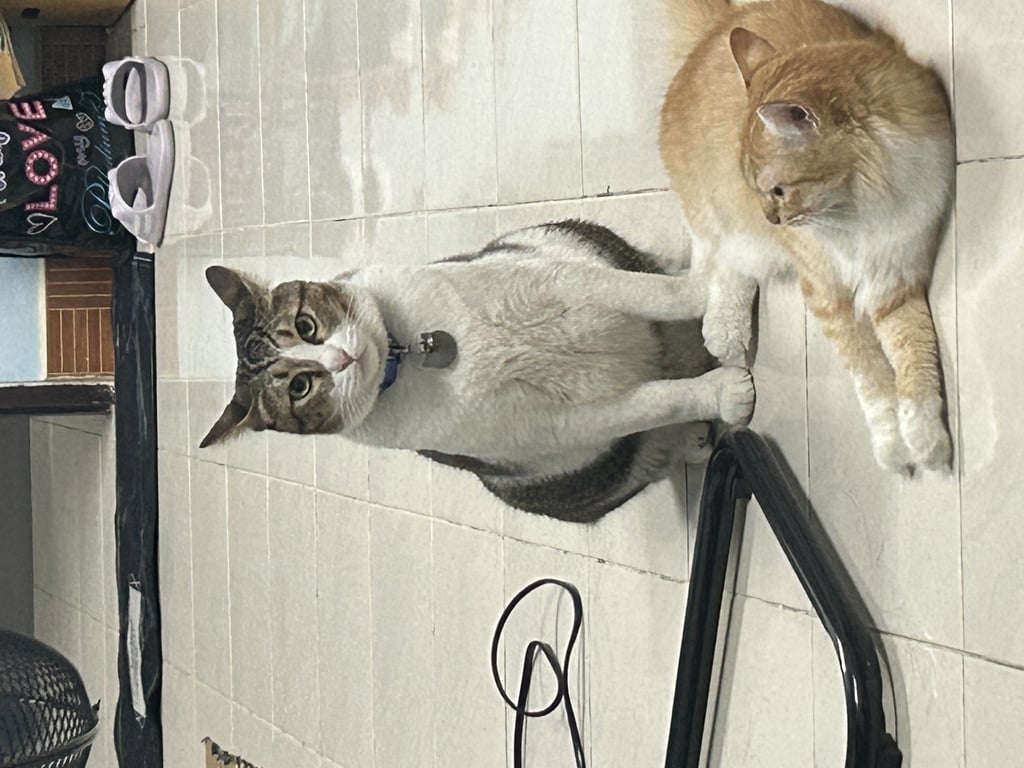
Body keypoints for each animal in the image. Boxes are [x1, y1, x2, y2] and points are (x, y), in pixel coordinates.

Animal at [200, 219, 755, 522]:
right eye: (299, 386)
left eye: (306, 325)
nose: (342, 360)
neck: (413, 351)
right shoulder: (568, 424)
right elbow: (661, 400)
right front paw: (729, 393)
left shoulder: (565, 278)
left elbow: (655, 293)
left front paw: (722, 303)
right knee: (654, 442)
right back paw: (694, 436)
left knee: (650, 272)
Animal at [659, 0, 954, 474]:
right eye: (759, 188)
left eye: (778, 190)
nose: (772, 220)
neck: (860, 208)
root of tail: (722, 22)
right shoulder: (825, 293)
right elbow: (871, 375)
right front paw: (892, 446)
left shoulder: (897, 278)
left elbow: (916, 362)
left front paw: (925, 440)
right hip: (714, 214)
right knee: (712, 264)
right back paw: (723, 334)